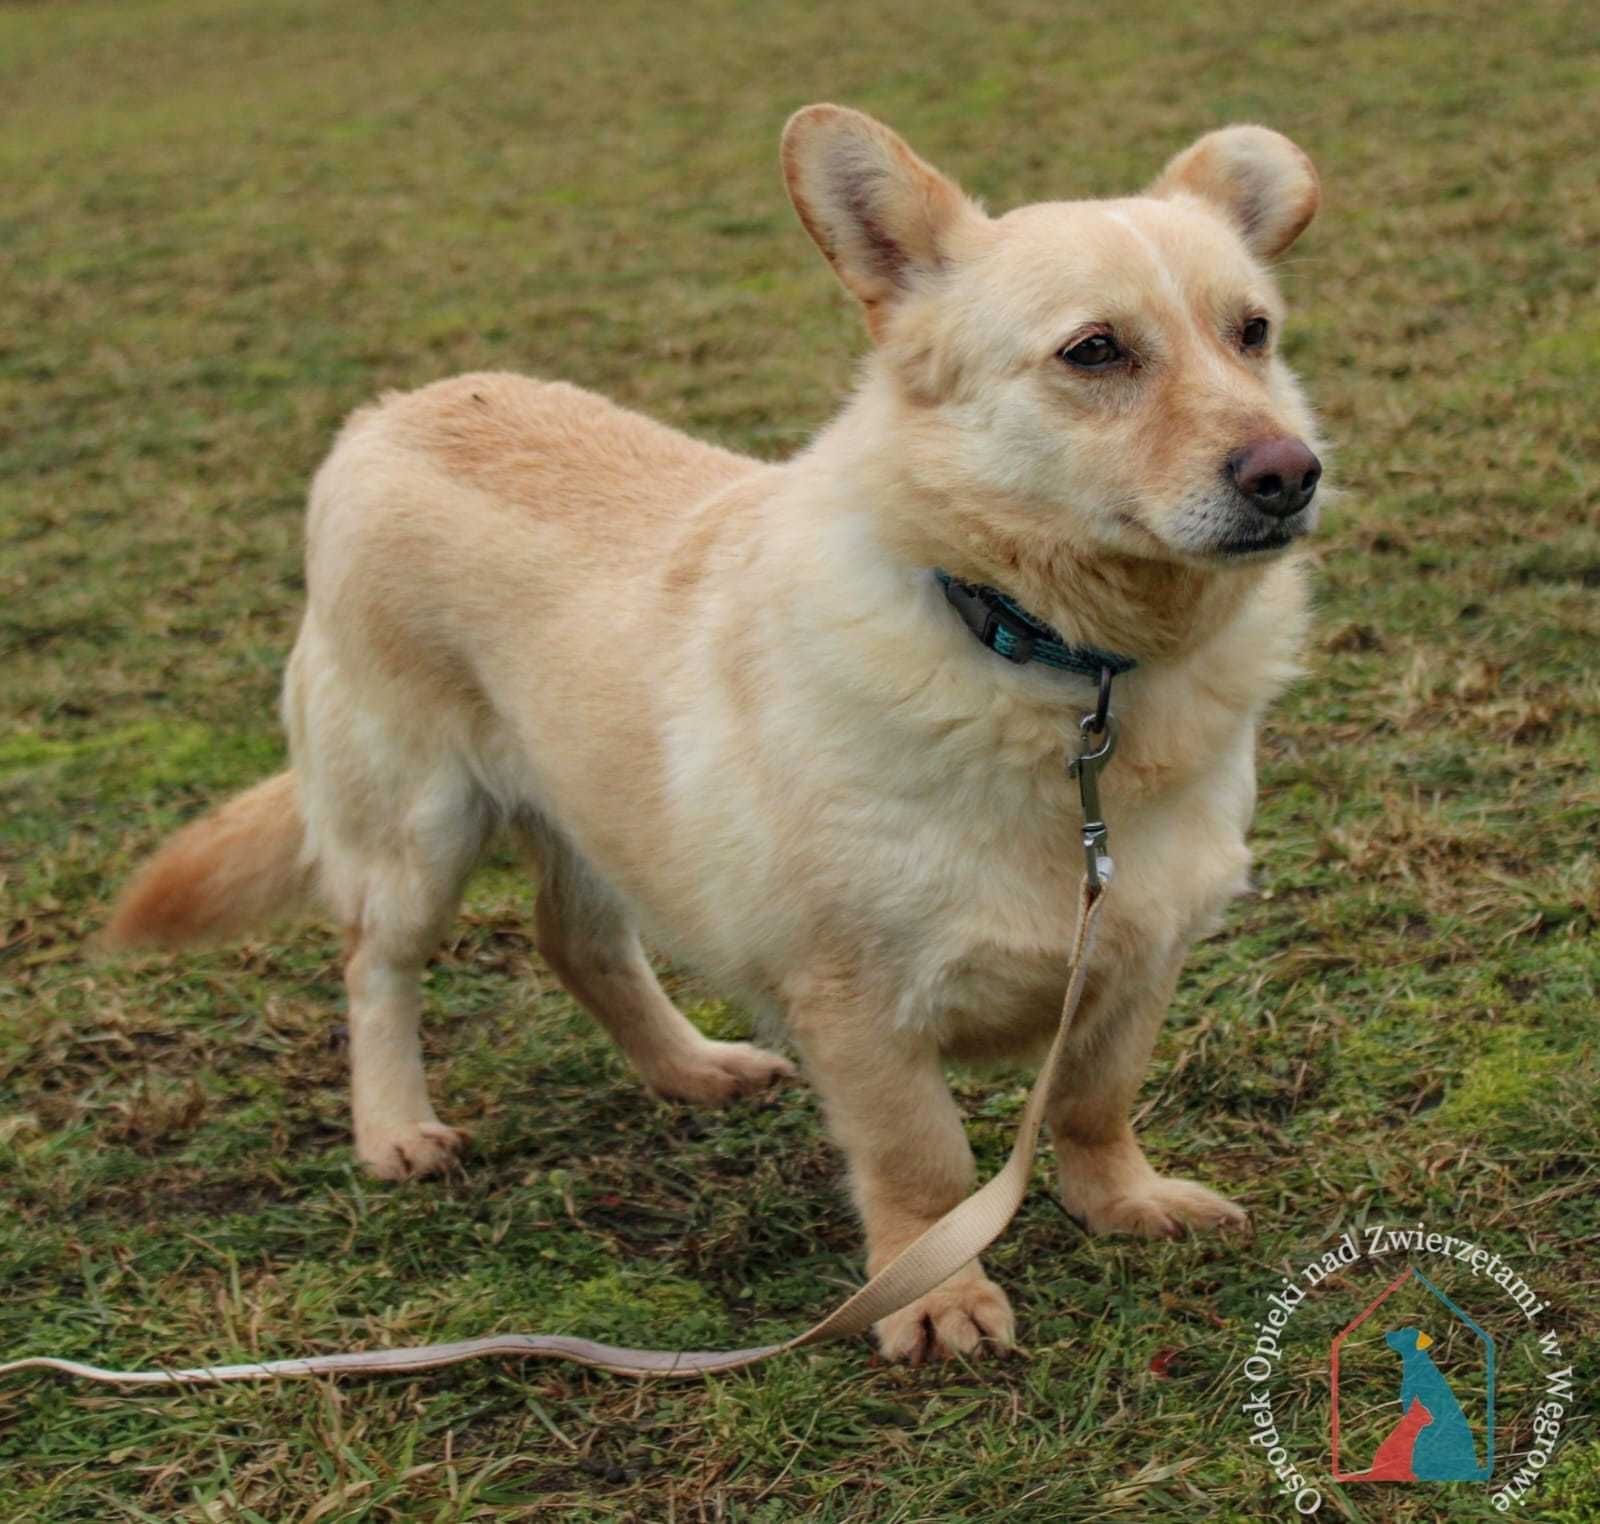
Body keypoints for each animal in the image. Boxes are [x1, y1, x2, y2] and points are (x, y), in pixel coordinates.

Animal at [109, 107, 1324, 1370]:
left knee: (579, 946)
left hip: (592, 814)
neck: (1060, 668)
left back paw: (691, 1068)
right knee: (374, 970)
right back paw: (396, 1127)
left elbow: (1094, 1102)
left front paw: (1120, 1202)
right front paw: (931, 1293)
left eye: (1252, 333)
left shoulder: (1138, 952)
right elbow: (924, 1167)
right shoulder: (859, 1003)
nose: (1290, 474)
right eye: (1094, 352)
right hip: (415, 832)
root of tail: (384, 412)